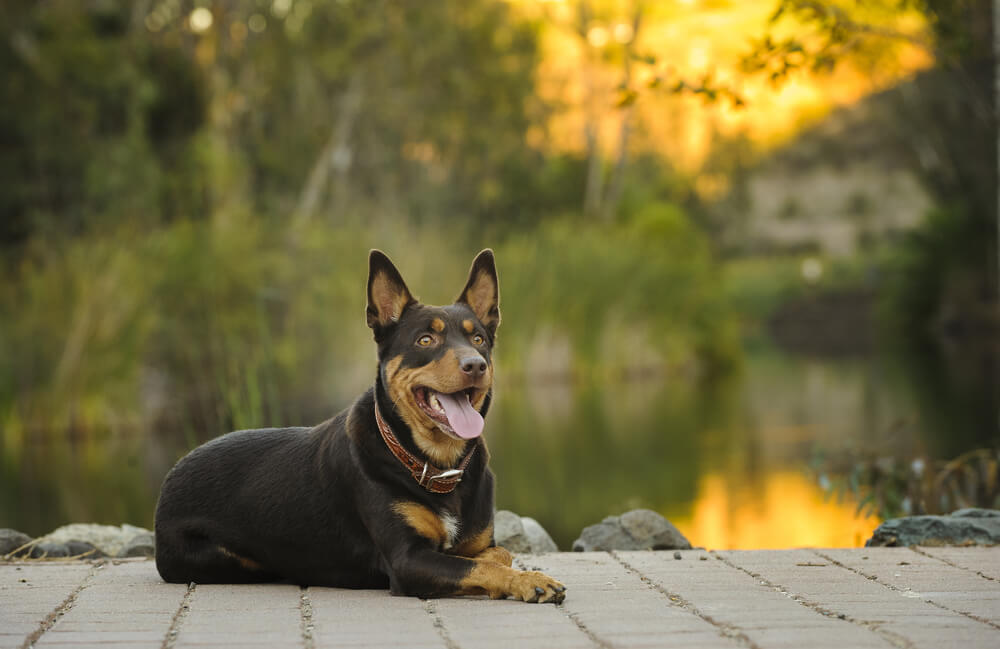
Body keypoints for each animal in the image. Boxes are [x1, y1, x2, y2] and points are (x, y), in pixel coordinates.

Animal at [153, 249, 568, 604]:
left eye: (478, 338)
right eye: (426, 339)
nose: (475, 365)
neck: (436, 467)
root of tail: (170, 477)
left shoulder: (477, 542)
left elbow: (498, 555)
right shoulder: (407, 560)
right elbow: (480, 566)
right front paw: (529, 581)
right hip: (225, 558)